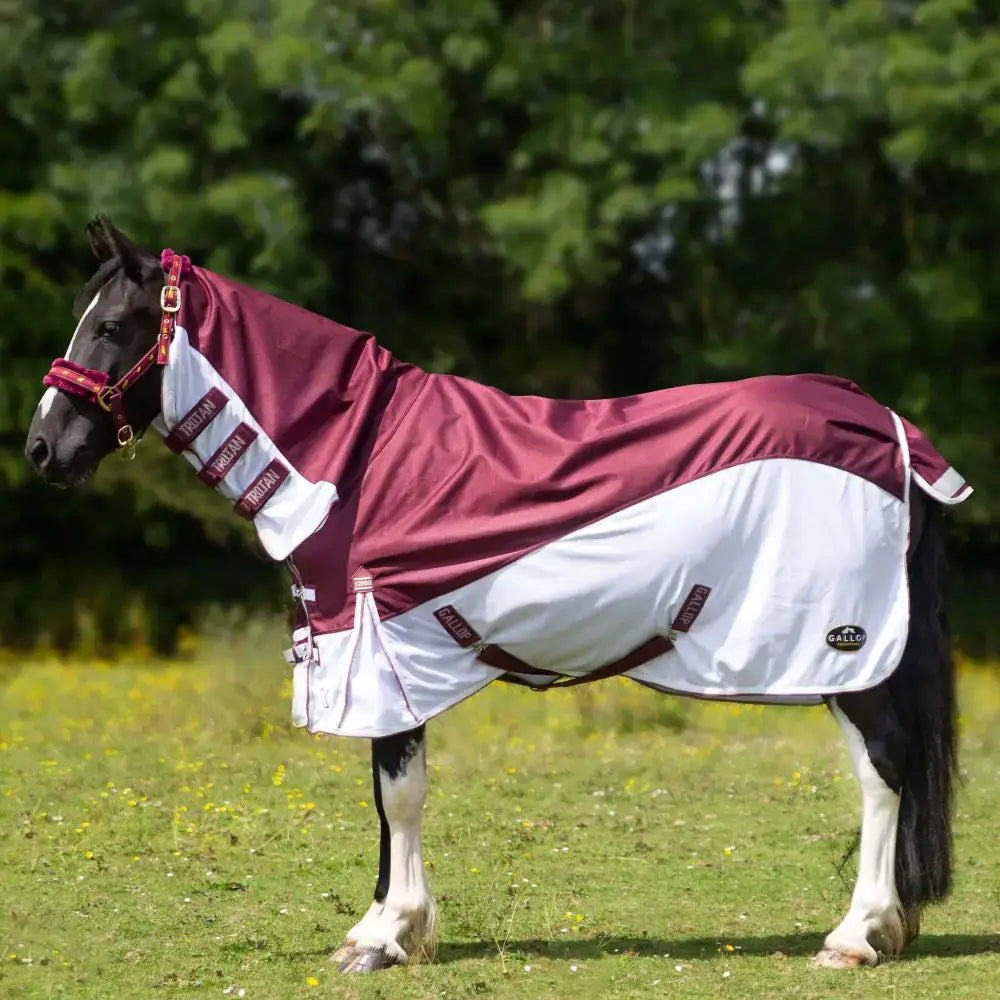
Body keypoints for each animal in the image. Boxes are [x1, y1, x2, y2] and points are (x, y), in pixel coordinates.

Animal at [25, 217, 972, 974]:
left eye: (110, 325)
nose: (42, 449)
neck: (355, 462)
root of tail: (888, 427)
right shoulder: (386, 662)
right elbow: (387, 796)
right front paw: (384, 928)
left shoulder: (385, 652)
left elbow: (398, 794)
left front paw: (386, 937)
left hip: (850, 653)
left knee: (883, 773)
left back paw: (854, 936)